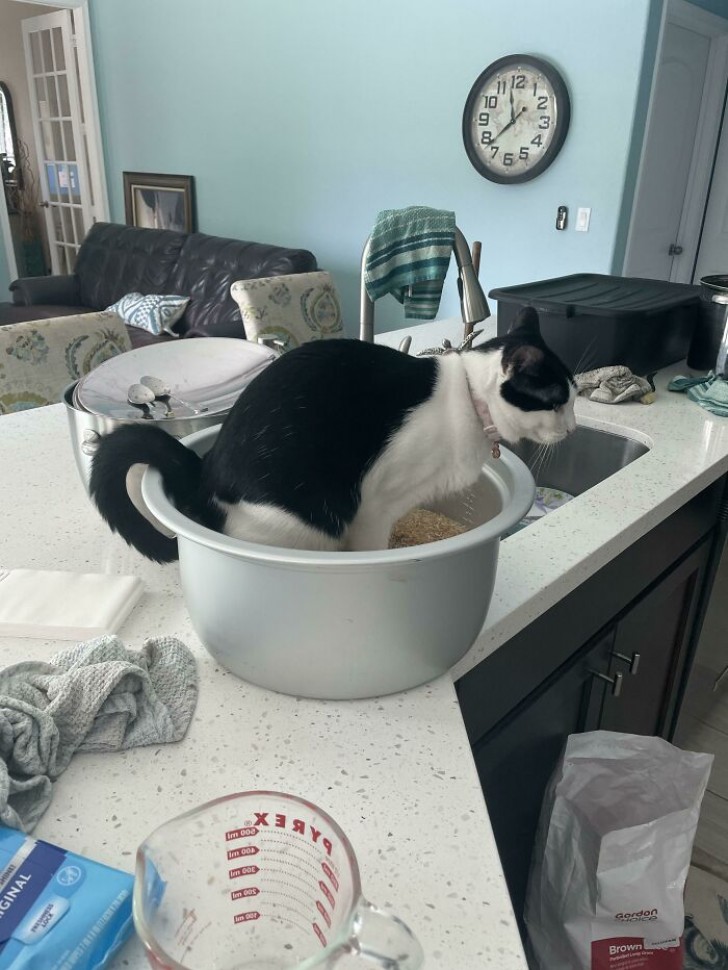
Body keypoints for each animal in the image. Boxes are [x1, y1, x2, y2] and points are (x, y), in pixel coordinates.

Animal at [91, 302, 576, 560]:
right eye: (558, 401)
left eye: (573, 396)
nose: (572, 427)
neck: (468, 398)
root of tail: (202, 472)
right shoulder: (375, 507)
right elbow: (371, 549)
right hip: (306, 525)